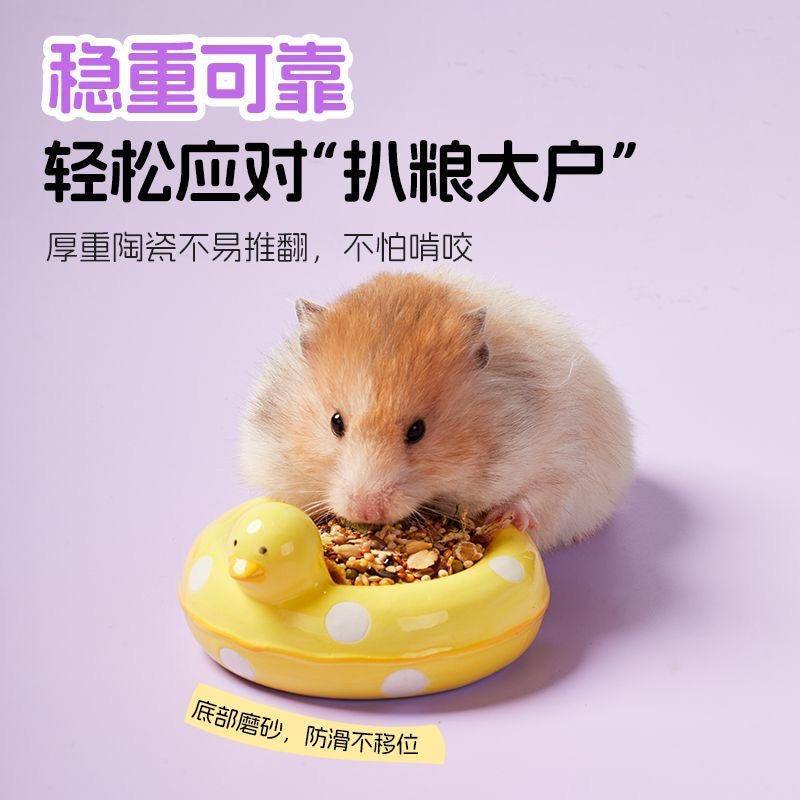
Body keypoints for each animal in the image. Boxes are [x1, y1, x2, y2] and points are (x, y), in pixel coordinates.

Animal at [239, 271, 634, 551]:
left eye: (418, 430)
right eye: (336, 423)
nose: (365, 510)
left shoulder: (562, 457)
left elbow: (539, 494)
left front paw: (505, 518)